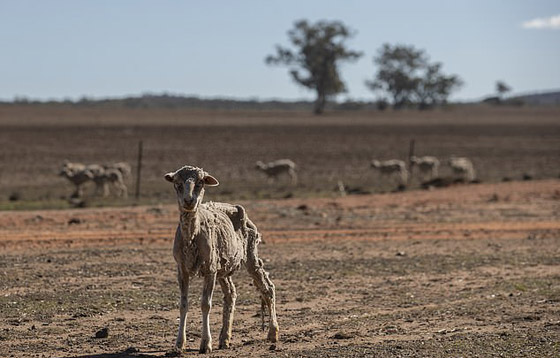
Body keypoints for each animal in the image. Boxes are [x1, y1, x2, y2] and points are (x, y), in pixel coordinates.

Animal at [164, 166, 278, 356]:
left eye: (200, 183)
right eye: (177, 183)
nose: (189, 201)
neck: (191, 237)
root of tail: (234, 206)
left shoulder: (210, 268)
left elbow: (205, 304)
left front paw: (205, 343)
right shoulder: (182, 270)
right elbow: (183, 304)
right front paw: (179, 344)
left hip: (249, 254)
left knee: (267, 288)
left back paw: (273, 333)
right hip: (224, 267)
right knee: (231, 294)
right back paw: (225, 338)